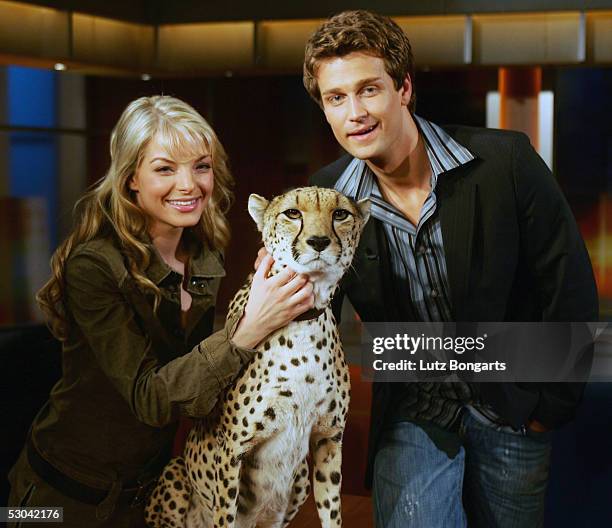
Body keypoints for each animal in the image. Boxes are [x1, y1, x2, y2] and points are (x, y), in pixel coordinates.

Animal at [146, 188, 370, 524]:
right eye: (293, 213)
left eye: (340, 214)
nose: (318, 242)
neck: (302, 321)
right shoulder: (232, 448)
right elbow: (224, 515)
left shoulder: (329, 438)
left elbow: (332, 512)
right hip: (175, 473)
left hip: (300, 480)